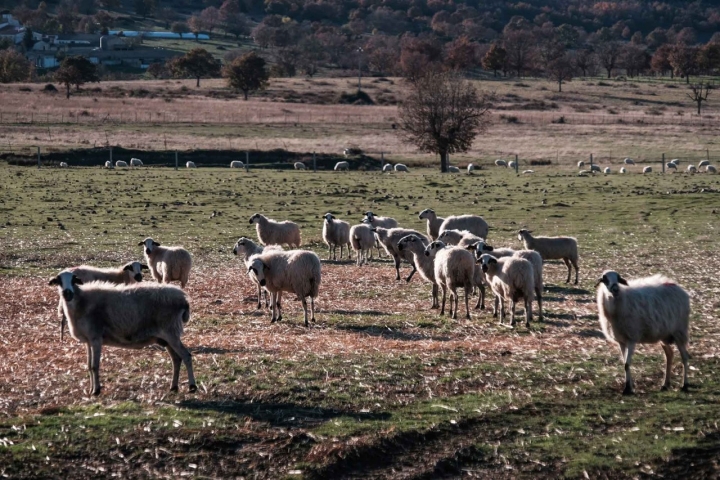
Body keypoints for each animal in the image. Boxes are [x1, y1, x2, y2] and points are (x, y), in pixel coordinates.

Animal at [49, 270, 196, 395]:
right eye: (59, 281)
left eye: (73, 280)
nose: (67, 293)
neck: (81, 302)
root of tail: (184, 299)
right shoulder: (88, 341)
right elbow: (89, 366)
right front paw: (91, 390)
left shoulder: (96, 338)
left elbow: (95, 366)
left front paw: (96, 391)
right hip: (166, 337)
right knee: (176, 359)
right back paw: (174, 387)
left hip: (171, 332)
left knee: (186, 356)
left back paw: (192, 386)